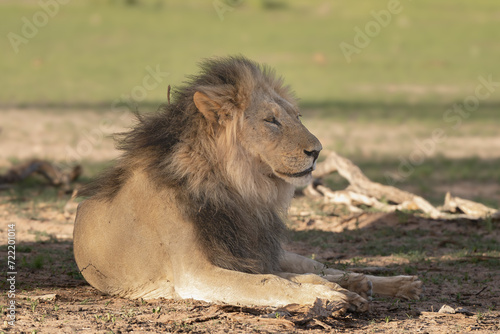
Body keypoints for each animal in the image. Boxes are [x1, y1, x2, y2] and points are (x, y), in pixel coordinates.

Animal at [72, 56, 420, 312]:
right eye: (271, 120)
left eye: (297, 116)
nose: (318, 151)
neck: (238, 189)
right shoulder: (196, 274)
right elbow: (271, 282)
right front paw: (333, 297)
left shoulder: (245, 256)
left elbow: (288, 277)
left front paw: (343, 290)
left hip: (276, 251)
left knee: (319, 266)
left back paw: (395, 283)